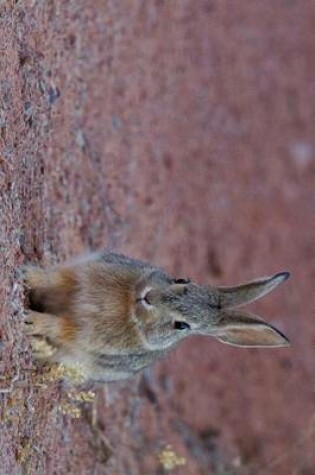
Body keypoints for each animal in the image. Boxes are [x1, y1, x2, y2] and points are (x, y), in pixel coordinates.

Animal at [23, 253, 292, 384]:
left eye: (182, 325)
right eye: (182, 279)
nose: (149, 296)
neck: (127, 307)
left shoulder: (82, 333)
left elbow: (59, 326)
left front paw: (30, 320)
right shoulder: (78, 276)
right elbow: (51, 278)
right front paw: (27, 276)